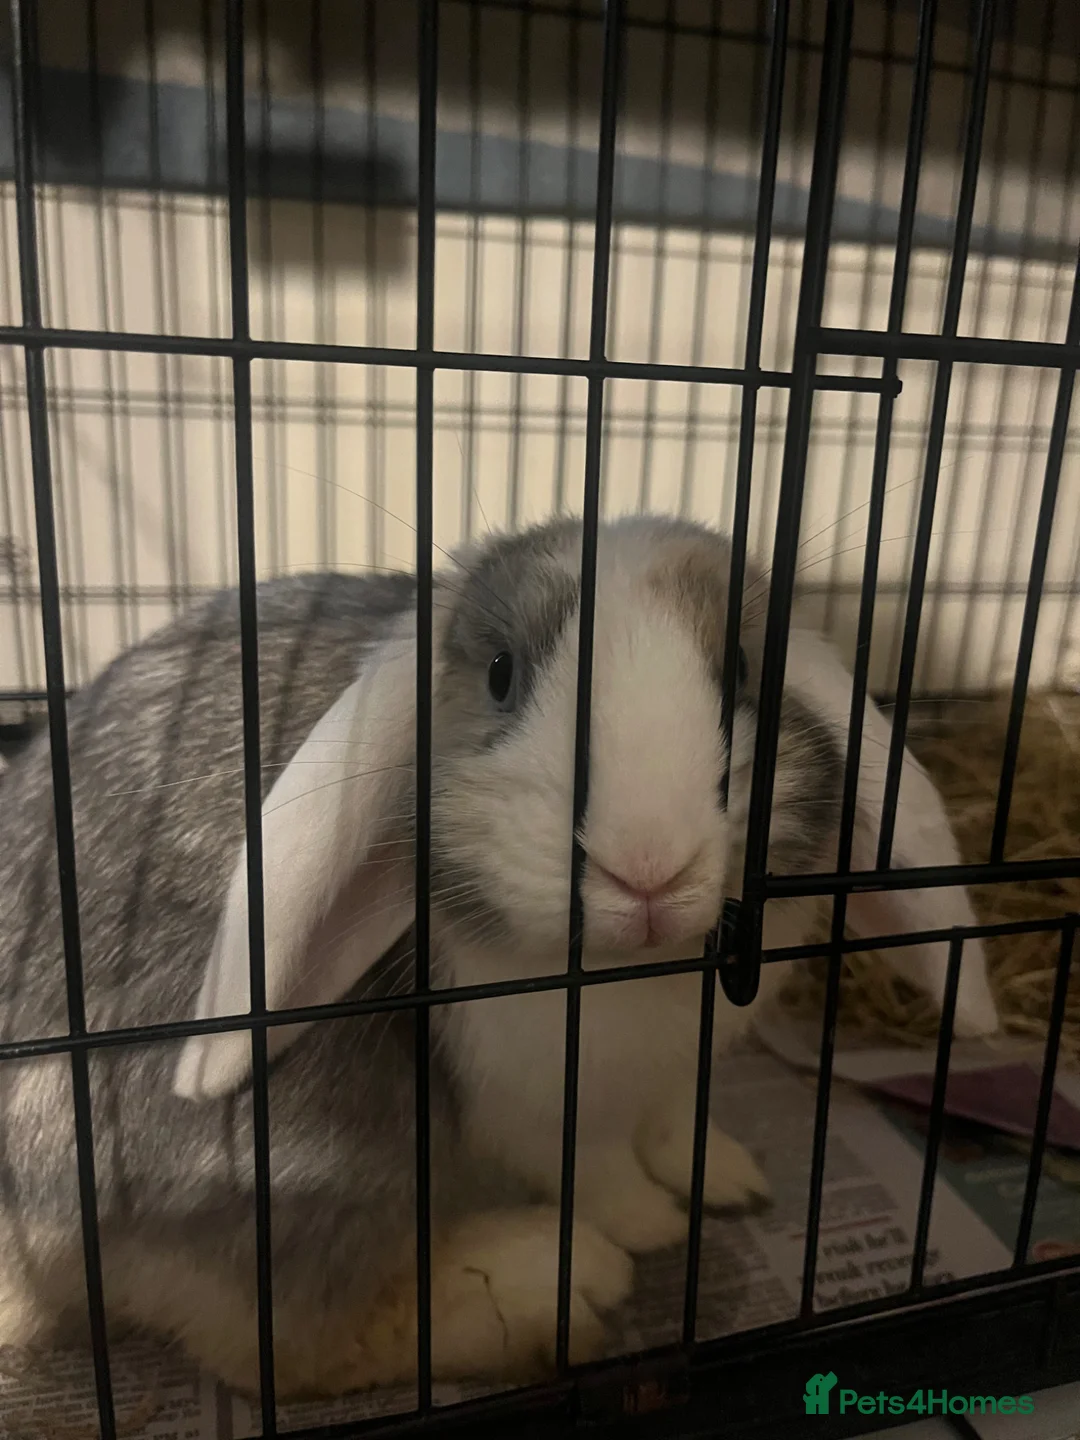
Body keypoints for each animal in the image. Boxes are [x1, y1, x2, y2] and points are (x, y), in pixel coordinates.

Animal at [0, 515, 999, 1400]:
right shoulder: (541, 1115)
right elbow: (602, 1174)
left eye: (743, 674)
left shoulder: (675, 1079)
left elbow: (674, 1129)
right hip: (305, 1161)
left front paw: (726, 1180)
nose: (647, 863)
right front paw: (653, 1231)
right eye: (501, 675)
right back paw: (553, 1287)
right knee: (281, 1349)